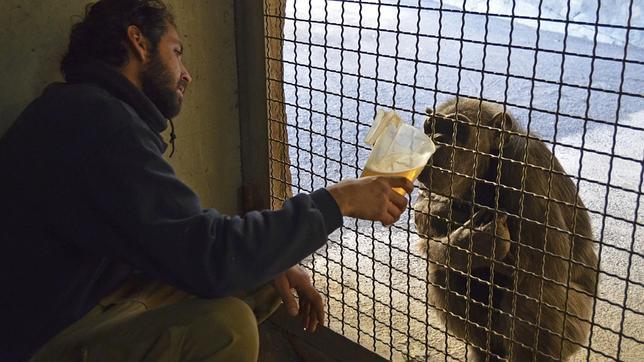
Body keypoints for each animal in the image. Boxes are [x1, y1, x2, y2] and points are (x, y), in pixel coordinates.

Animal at [412, 97, 600, 360]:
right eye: (430, 127)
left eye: (457, 129)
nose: (436, 138)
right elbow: (424, 210)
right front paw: (468, 239)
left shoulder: (527, 172)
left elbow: (548, 266)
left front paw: (476, 241)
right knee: (443, 273)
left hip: (576, 324)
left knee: (530, 298)